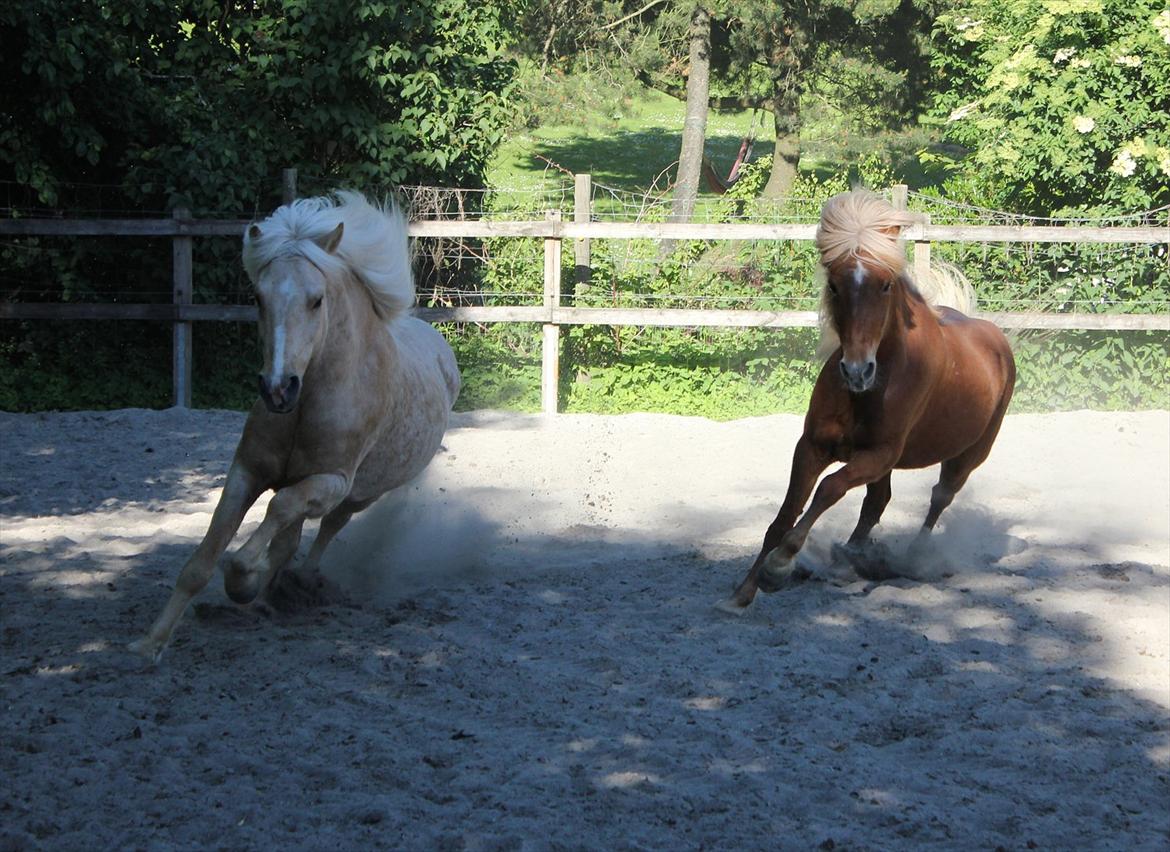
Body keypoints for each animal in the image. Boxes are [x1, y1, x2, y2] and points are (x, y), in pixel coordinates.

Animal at [129, 191, 456, 660]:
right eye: (257, 298)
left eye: (317, 300)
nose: (278, 389)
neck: (308, 406)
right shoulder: (247, 470)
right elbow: (205, 557)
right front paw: (152, 642)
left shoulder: (330, 482)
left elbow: (277, 515)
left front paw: (246, 577)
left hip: (364, 494)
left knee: (327, 529)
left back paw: (299, 580)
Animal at [725, 189, 1010, 608]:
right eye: (834, 285)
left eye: (886, 285)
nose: (857, 371)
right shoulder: (812, 446)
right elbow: (785, 514)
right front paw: (743, 591)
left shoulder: (877, 455)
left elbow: (829, 489)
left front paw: (778, 566)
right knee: (878, 502)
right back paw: (852, 555)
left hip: (969, 455)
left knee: (939, 497)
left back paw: (911, 557)